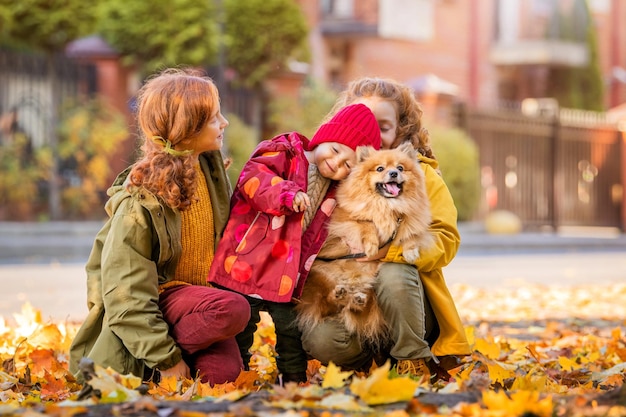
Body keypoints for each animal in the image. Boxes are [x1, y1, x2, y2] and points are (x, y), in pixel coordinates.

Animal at [294, 142, 432, 344]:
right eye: (380, 169)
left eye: (400, 168)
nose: (393, 173)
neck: (387, 205)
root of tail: (354, 286)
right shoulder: (344, 219)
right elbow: (366, 223)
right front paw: (372, 245)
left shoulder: (411, 219)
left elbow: (410, 234)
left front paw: (410, 251)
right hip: (320, 274)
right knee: (328, 302)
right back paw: (340, 294)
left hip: (371, 291)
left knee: (354, 307)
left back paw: (356, 300)